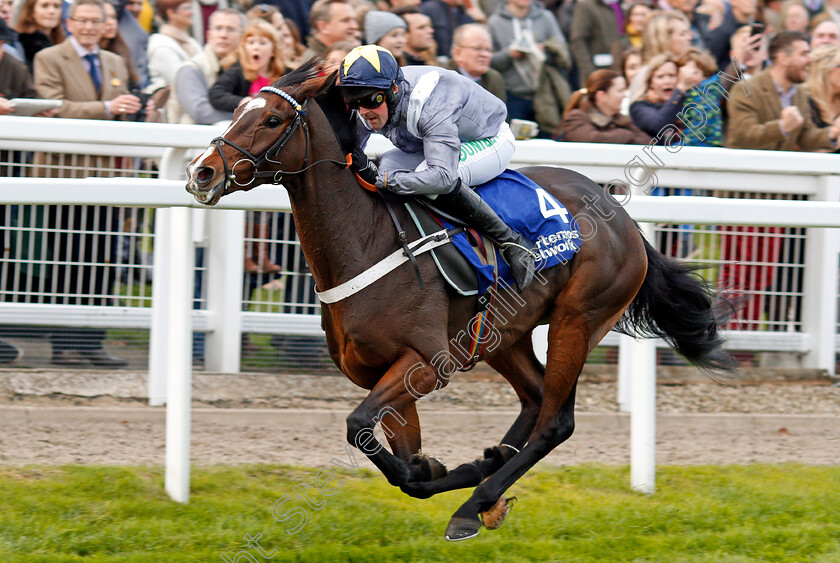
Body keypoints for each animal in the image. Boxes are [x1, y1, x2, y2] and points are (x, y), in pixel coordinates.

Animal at [185, 61, 736, 540]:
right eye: (238, 110)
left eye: (272, 119)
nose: (201, 172)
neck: (366, 241)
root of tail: (624, 219)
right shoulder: (387, 371)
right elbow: (400, 461)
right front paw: (444, 464)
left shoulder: (426, 363)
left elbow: (361, 427)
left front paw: (449, 471)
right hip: (501, 334)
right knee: (535, 398)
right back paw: (488, 476)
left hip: (578, 319)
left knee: (555, 420)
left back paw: (476, 504)